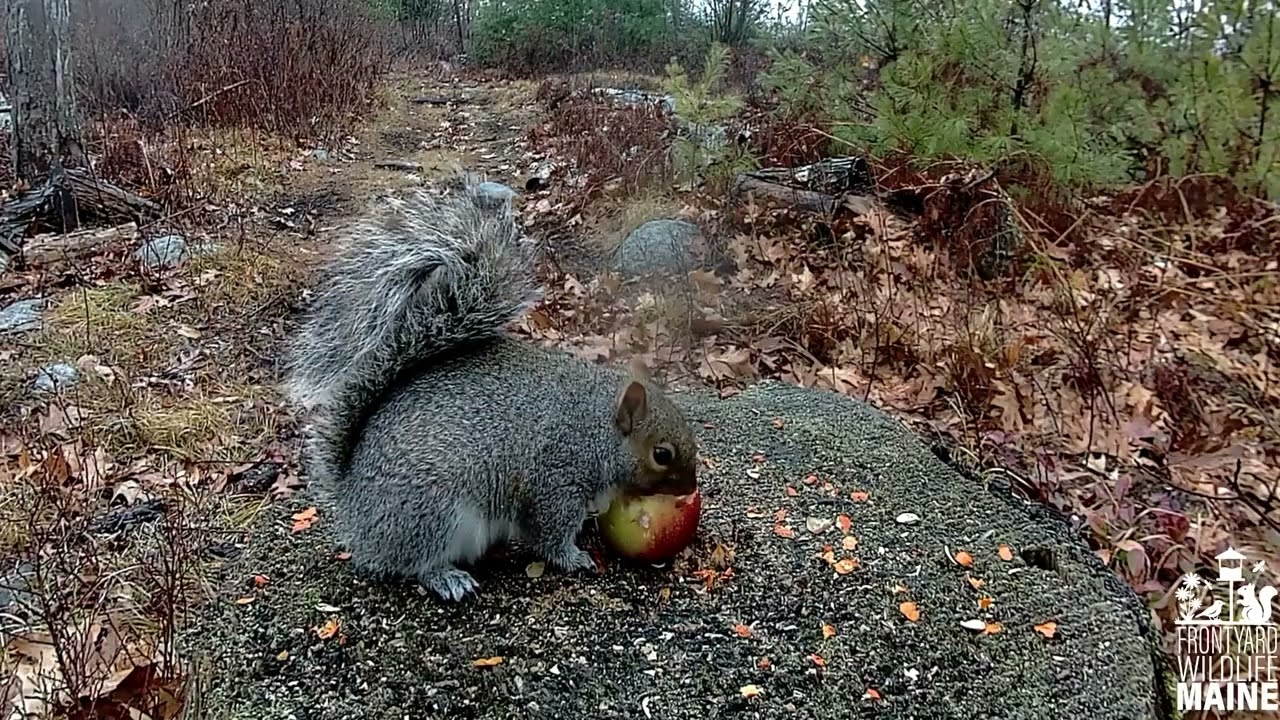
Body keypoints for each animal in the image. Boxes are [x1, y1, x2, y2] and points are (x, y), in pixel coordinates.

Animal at [282, 173, 700, 602]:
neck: (593, 424)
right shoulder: (556, 478)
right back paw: (447, 577)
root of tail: (353, 507)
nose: (690, 489)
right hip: (432, 514)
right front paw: (574, 557)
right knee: (413, 562)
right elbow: (549, 532)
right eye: (662, 454)